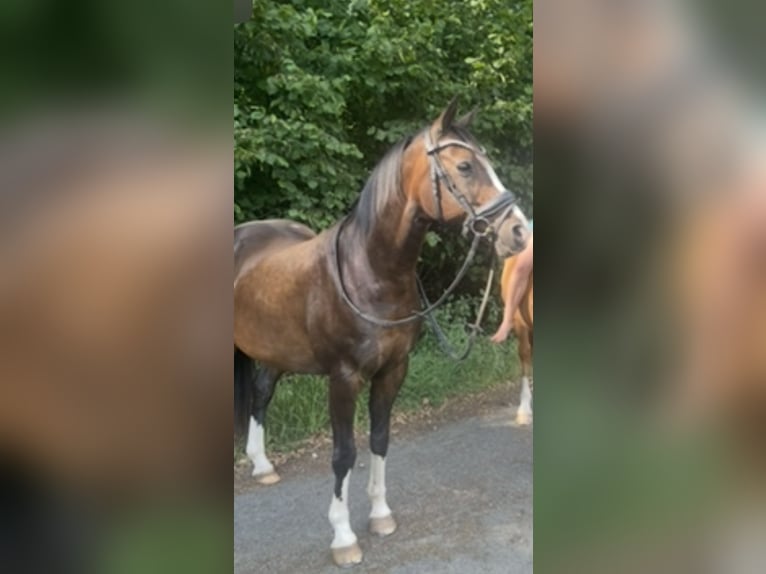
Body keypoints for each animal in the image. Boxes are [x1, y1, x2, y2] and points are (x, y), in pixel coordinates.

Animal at [233, 99, 531, 567]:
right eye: (465, 166)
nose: (518, 231)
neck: (370, 271)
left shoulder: (393, 370)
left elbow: (379, 438)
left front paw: (380, 515)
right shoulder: (343, 378)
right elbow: (343, 454)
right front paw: (343, 537)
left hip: (276, 352)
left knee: (261, 393)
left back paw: (262, 466)